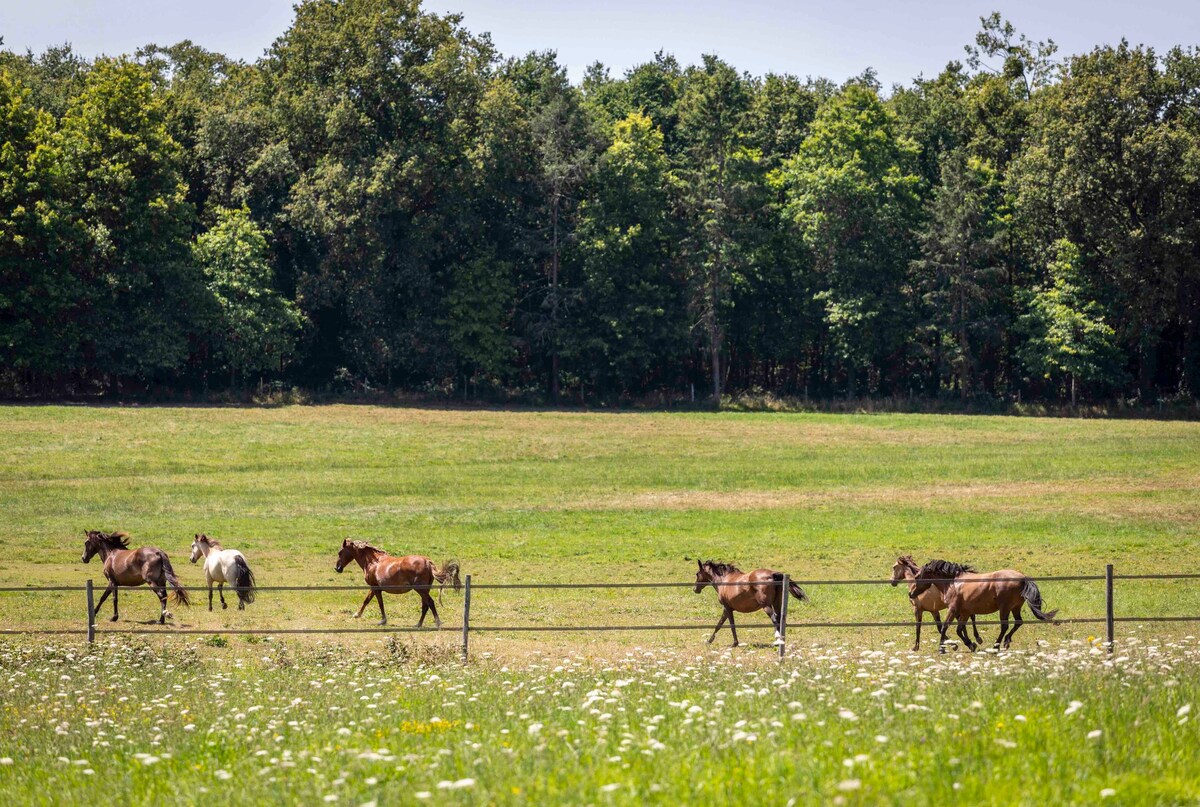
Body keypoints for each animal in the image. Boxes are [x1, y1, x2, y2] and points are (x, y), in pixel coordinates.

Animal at [907, 557, 1060, 653]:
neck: (952, 583)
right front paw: (972, 645)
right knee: (1018, 622)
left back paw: (996, 647)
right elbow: (959, 630)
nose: (911, 594)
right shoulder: (964, 612)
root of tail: (1023, 578)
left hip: (1005, 608)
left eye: (917, 577)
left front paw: (942, 649)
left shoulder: (953, 610)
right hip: (1015, 607)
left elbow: (945, 628)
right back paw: (1006, 642)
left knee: (1005, 626)